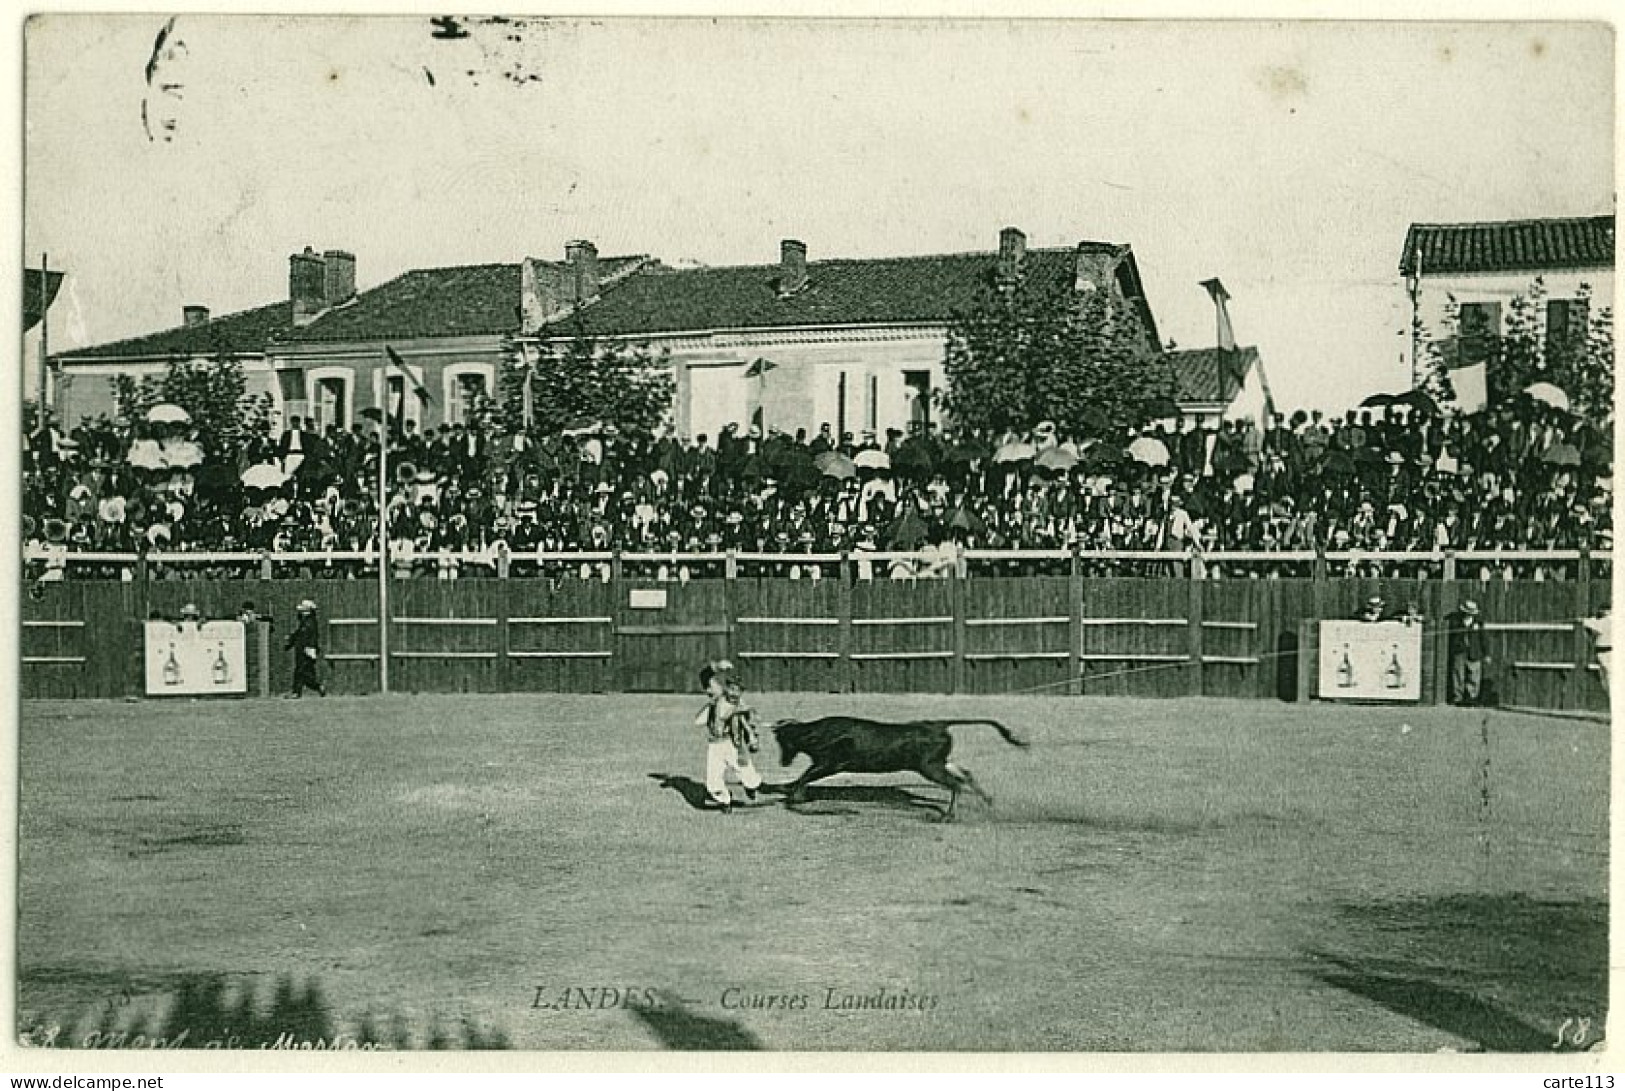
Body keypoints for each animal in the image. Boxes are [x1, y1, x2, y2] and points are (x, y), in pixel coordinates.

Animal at [770, 715, 1027, 819]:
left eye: (782, 741)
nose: (783, 761)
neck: (816, 733)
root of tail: (939, 725)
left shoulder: (829, 764)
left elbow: (804, 777)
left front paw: (796, 797)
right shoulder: (823, 765)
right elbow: (799, 778)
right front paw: (785, 790)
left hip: (929, 767)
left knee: (956, 784)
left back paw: (948, 816)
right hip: (937, 762)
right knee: (964, 774)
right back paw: (988, 801)